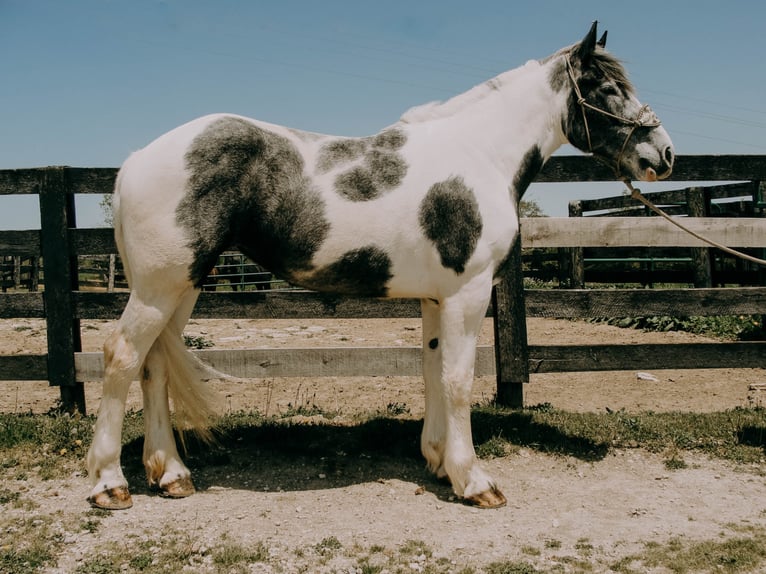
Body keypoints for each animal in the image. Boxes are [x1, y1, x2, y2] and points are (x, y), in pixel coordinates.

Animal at [88, 21, 672, 512]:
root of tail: (137, 159)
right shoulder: (468, 294)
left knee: (154, 365)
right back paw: (110, 484)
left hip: (182, 286)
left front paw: (438, 461)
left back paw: (171, 474)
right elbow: (458, 379)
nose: (663, 155)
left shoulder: (438, 298)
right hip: (161, 287)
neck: (479, 155)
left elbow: (433, 371)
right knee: (121, 356)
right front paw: (474, 481)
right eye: (605, 87)